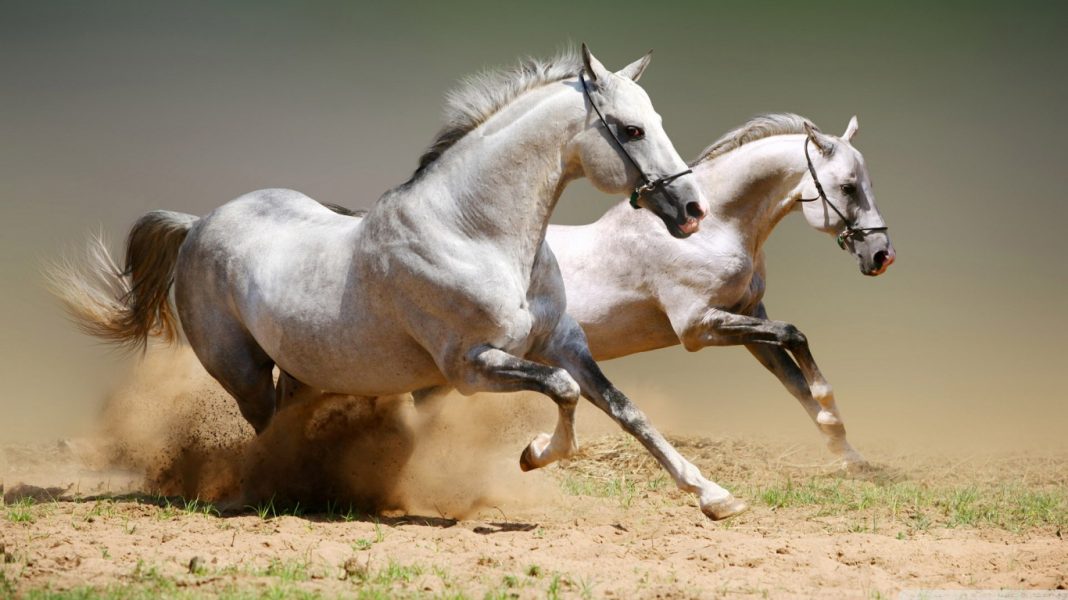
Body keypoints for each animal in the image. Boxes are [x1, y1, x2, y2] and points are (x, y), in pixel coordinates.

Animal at [50, 45, 753, 520]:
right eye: (631, 129)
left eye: (655, 119)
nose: (692, 209)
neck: (475, 232)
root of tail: (198, 224)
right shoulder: (470, 367)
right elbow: (562, 393)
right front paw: (533, 454)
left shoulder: (563, 343)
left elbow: (624, 408)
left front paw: (714, 496)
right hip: (241, 369)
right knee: (264, 429)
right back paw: (271, 491)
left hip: (304, 369)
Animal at [547, 114, 894, 469]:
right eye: (848, 187)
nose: (882, 255)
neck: (710, 232)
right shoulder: (697, 327)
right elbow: (793, 334)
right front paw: (829, 410)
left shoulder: (748, 317)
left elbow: (794, 380)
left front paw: (848, 453)